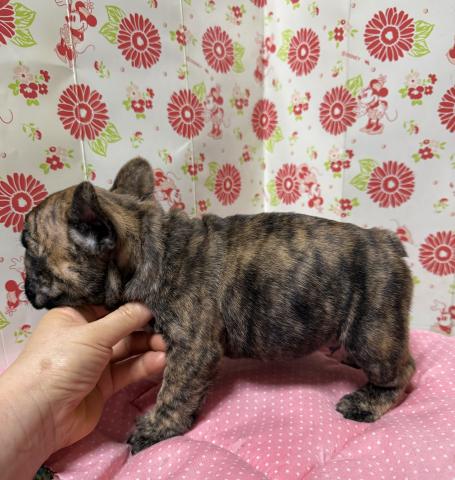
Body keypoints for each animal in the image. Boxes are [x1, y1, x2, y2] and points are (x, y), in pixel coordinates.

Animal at [22, 157, 415, 454]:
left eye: (28, 245)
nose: (24, 283)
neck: (148, 247)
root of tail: (387, 242)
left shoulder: (193, 349)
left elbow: (174, 391)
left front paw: (156, 428)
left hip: (371, 333)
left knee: (403, 371)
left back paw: (367, 402)